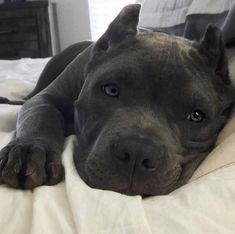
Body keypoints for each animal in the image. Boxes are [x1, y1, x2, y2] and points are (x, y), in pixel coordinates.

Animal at [0, 4, 234, 197]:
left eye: (196, 116)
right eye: (111, 90)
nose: (138, 152)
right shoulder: (47, 98)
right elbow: (41, 116)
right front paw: (29, 150)